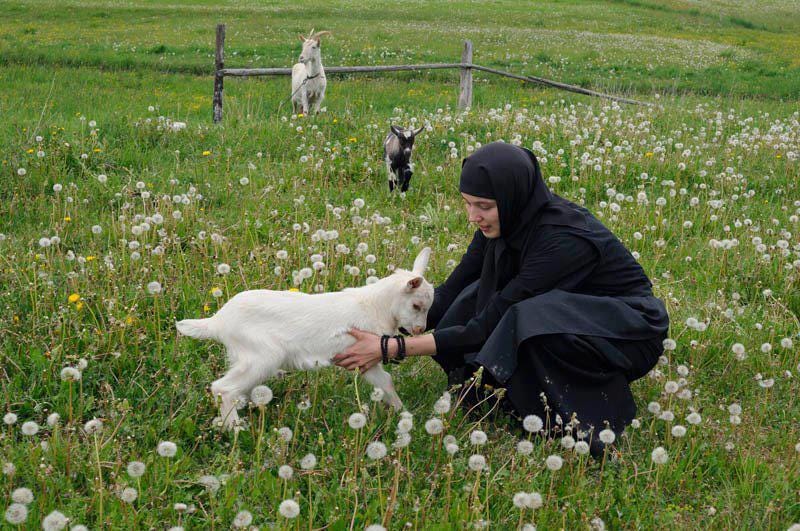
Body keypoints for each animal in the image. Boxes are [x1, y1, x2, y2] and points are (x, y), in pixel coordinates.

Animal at [177, 248, 434, 428]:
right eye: (416, 305)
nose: (420, 330)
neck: (374, 306)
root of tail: (218, 321)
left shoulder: (365, 359)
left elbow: (386, 382)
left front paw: (403, 413)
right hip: (263, 356)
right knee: (223, 388)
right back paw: (235, 429)